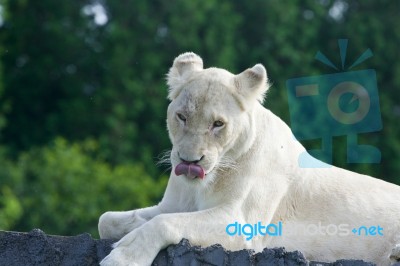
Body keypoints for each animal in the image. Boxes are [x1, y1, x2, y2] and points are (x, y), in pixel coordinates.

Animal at [98, 52, 400, 266]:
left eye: (218, 124)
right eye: (182, 116)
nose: (190, 161)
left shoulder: (240, 223)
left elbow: (165, 223)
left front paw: (122, 258)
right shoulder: (172, 204)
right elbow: (106, 219)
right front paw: (127, 232)